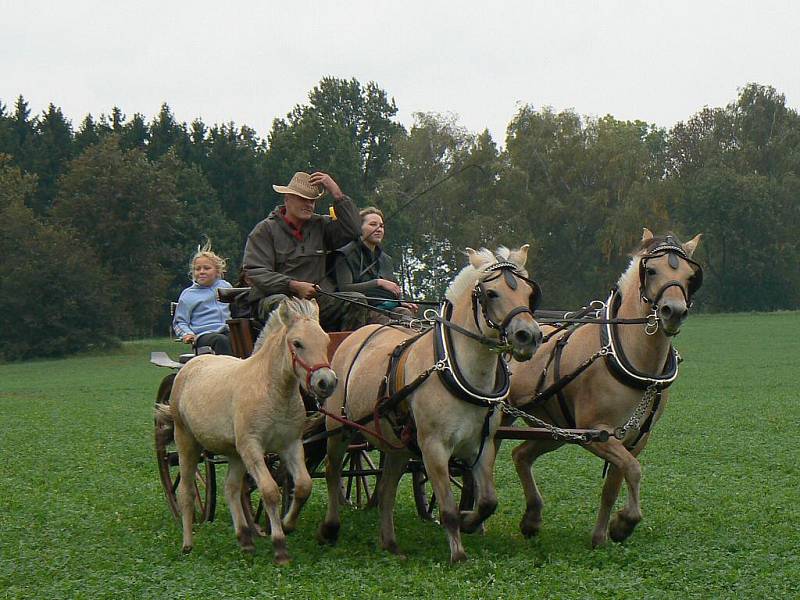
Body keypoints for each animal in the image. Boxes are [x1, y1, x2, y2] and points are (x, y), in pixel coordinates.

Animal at [155, 298, 336, 564]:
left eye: (326, 340)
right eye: (297, 343)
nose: (326, 383)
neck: (271, 390)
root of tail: (191, 364)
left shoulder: (290, 445)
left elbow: (303, 485)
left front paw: (287, 524)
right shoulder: (253, 447)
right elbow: (270, 491)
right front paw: (280, 547)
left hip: (234, 453)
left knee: (232, 489)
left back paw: (245, 539)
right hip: (186, 443)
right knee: (186, 493)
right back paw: (188, 544)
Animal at [318, 245, 544, 564]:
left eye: (529, 293)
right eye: (491, 293)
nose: (529, 336)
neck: (455, 369)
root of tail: (358, 335)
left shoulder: (482, 445)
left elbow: (488, 501)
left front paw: (469, 521)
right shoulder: (433, 447)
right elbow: (447, 509)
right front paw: (458, 553)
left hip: (396, 444)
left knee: (387, 487)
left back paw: (390, 542)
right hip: (338, 428)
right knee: (332, 471)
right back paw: (330, 528)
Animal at [506, 230, 700, 548]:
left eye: (690, 275)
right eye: (650, 270)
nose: (674, 312)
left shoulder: (634, 438)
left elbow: (614, 485)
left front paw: (602, 535)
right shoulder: (595, 432)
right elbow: (633, 469)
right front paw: (625, 522)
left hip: (553, 429)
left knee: (520, 455)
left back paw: (531, 518)